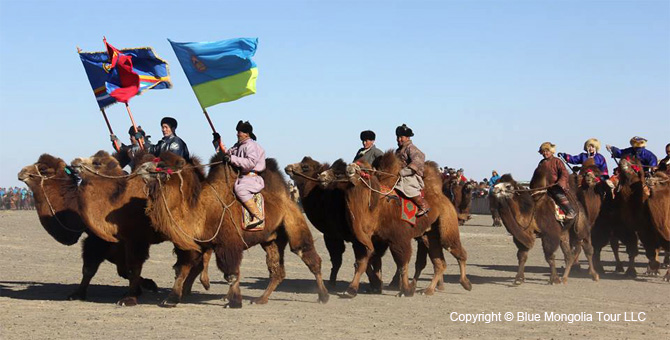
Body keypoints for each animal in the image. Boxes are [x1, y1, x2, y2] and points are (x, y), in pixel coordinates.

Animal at [16, 154, 163, 300]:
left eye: (43, 168)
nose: (21, 172)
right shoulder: (115, 241)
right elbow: (122, 269)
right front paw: (142, 287)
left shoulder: (102, 239)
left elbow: (91, 268)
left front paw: (78, 294)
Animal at [72, 151, 211, 306]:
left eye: (97, 162)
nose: (75, 162)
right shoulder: (106, 239)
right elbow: (93, 267)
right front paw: (77, 294)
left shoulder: (137, 239)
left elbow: (133, 267)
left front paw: (130, 298)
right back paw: (187, 289)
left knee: (191, 260)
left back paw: (181, 293)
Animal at [140, 152, 330, 308]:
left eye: (162, 164)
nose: (142, 167)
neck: (201, 210)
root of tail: (287, 198)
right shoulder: (196, 244)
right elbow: (183, 269)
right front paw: (171, 299)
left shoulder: (228, 243)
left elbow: (231, 274)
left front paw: (234, 301)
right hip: (271, 239)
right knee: (277, 271)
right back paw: (261, 299)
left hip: (293, 222)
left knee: (307, 255)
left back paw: (323, 296)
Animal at [320, 152, 472, 298]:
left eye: (339, 172)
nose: (321, 176)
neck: (373, 207)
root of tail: (445, 200)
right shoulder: (370, 239)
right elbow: (362, 262)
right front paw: (352, 290)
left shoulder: (398, 238)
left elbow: (402, 264)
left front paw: (406, 291)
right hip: (429, 235)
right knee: (439, 263)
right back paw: (428, 290)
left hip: (447, 224)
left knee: (457, 251)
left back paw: (466, 283)